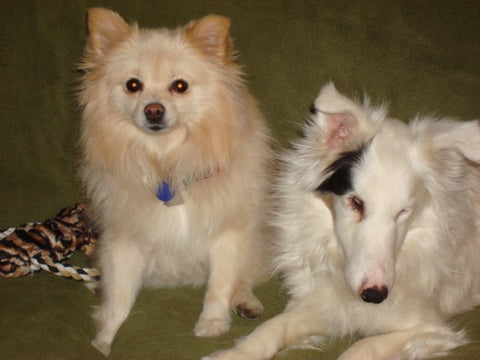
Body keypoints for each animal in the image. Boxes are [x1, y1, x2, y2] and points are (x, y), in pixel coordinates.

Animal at [78, 8, 270, 358]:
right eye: (133, 85)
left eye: (180, 86)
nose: (154, 110)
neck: (167, 163)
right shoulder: (124, 241)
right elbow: (119, 299)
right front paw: (105, 339)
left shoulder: (229, 233)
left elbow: (220, 283)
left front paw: (212, 323)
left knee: (248, 274)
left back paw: (245, 301)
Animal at [205, 82, 480, 360]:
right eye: (357, 202)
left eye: (404, 211)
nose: (374, 295)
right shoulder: (320, 305)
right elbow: (269, 329)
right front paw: (232, 353)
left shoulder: (431, 328)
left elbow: (363, 346)